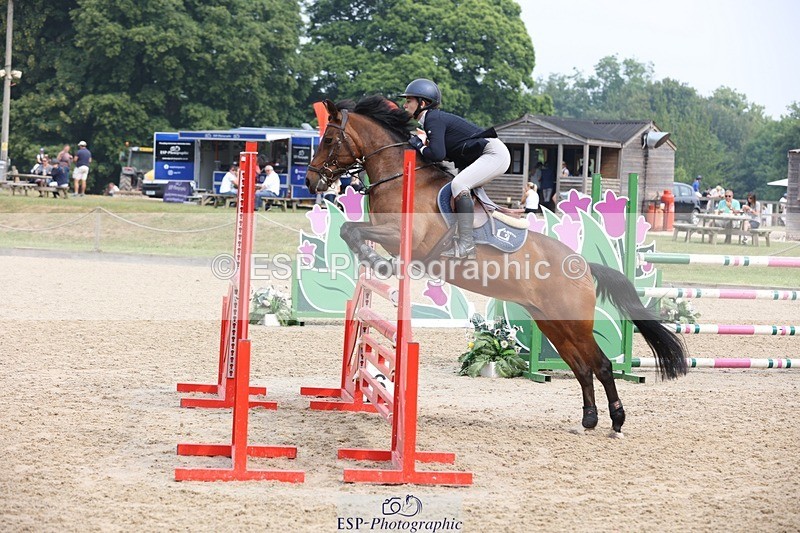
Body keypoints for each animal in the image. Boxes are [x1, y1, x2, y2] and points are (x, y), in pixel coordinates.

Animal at [305, 95, 687, 435]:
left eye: (328, 139)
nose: (310, 181)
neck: (398, 175)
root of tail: (583, 266)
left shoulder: (402, 237)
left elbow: (350, 229)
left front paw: (376, 262)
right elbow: (350, 229)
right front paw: (374, 261)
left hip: (574, 322)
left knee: (602, 365)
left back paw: (617, 422)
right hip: (552, 323)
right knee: (581, 368)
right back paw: (589, 420)